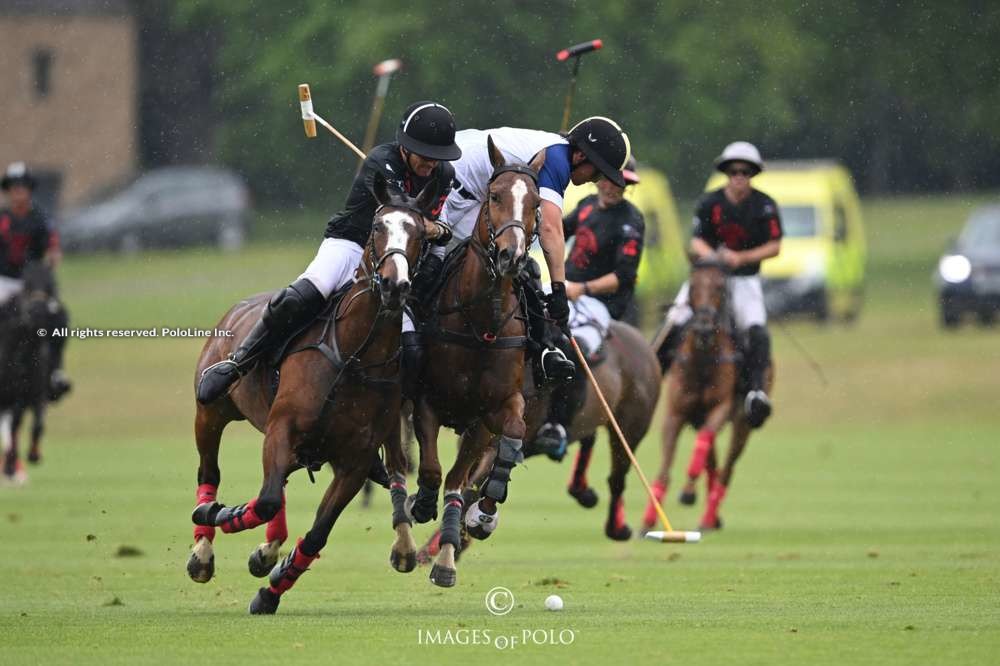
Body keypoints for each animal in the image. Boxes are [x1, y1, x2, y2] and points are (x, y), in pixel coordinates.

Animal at [0, 262, 56, 486]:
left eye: (51, 285)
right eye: (27, 284)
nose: (38, 312)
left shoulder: (34, 393)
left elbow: (37, 423)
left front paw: (34, 454)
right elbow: (13, 427)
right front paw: (10, 466)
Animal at [189, 175, 428, 612]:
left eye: (420, 233)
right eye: (376, 226)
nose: (394, 285)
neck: (353, 353)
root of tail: (236, 309)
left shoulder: (353, 461)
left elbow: (316, 532)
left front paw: (271, 588)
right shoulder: (283, 427)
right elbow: (263, 500)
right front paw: (220, 514)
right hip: (211, 413)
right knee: (210, 471)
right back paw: (202, 549)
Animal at [390, 136, 548, 588]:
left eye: (535, 203)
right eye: (495, 196)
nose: (512, 256)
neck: (482, 323)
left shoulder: (490, 412)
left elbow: (494, 455)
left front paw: (480, 518)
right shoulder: (426, 402)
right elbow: (430, 471)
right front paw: (422, 504)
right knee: (397, 461)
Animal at [644, 260, 776, 528]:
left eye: (719, 288)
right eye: (693, 286)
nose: (704, 327)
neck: (703, 359)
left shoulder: (720, 408)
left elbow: (704, 443)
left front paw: (688, 489)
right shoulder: (675, 414)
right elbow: (665, 469)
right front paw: (649, 520)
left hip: (742, 424)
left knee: (726, 468)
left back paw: (708, 516)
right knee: (713, 461)